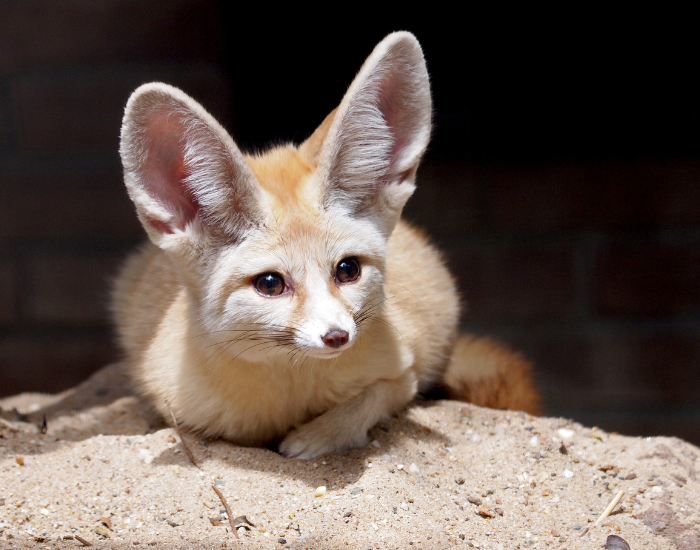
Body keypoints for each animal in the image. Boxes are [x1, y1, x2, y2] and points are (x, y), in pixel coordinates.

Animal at [112, 32, 539, 459]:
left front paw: (314, 437)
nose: (337, 336)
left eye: (348, 270)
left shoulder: (405, 372)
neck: (293, 393)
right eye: (270, 284)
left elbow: (369, 400)